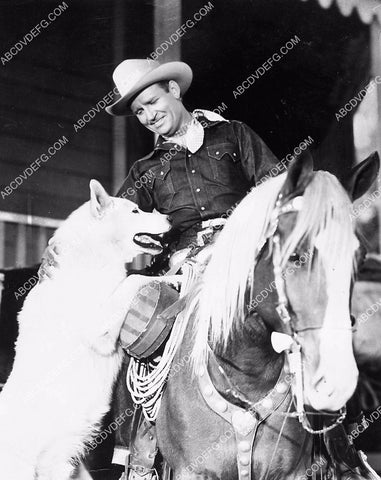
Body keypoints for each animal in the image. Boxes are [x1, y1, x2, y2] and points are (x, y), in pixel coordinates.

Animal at [0, 181, 170, 480]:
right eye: (136, 210)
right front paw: (173, 276)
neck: (92, 255)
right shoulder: (100, 332)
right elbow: (133, 279)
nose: (170, 217)